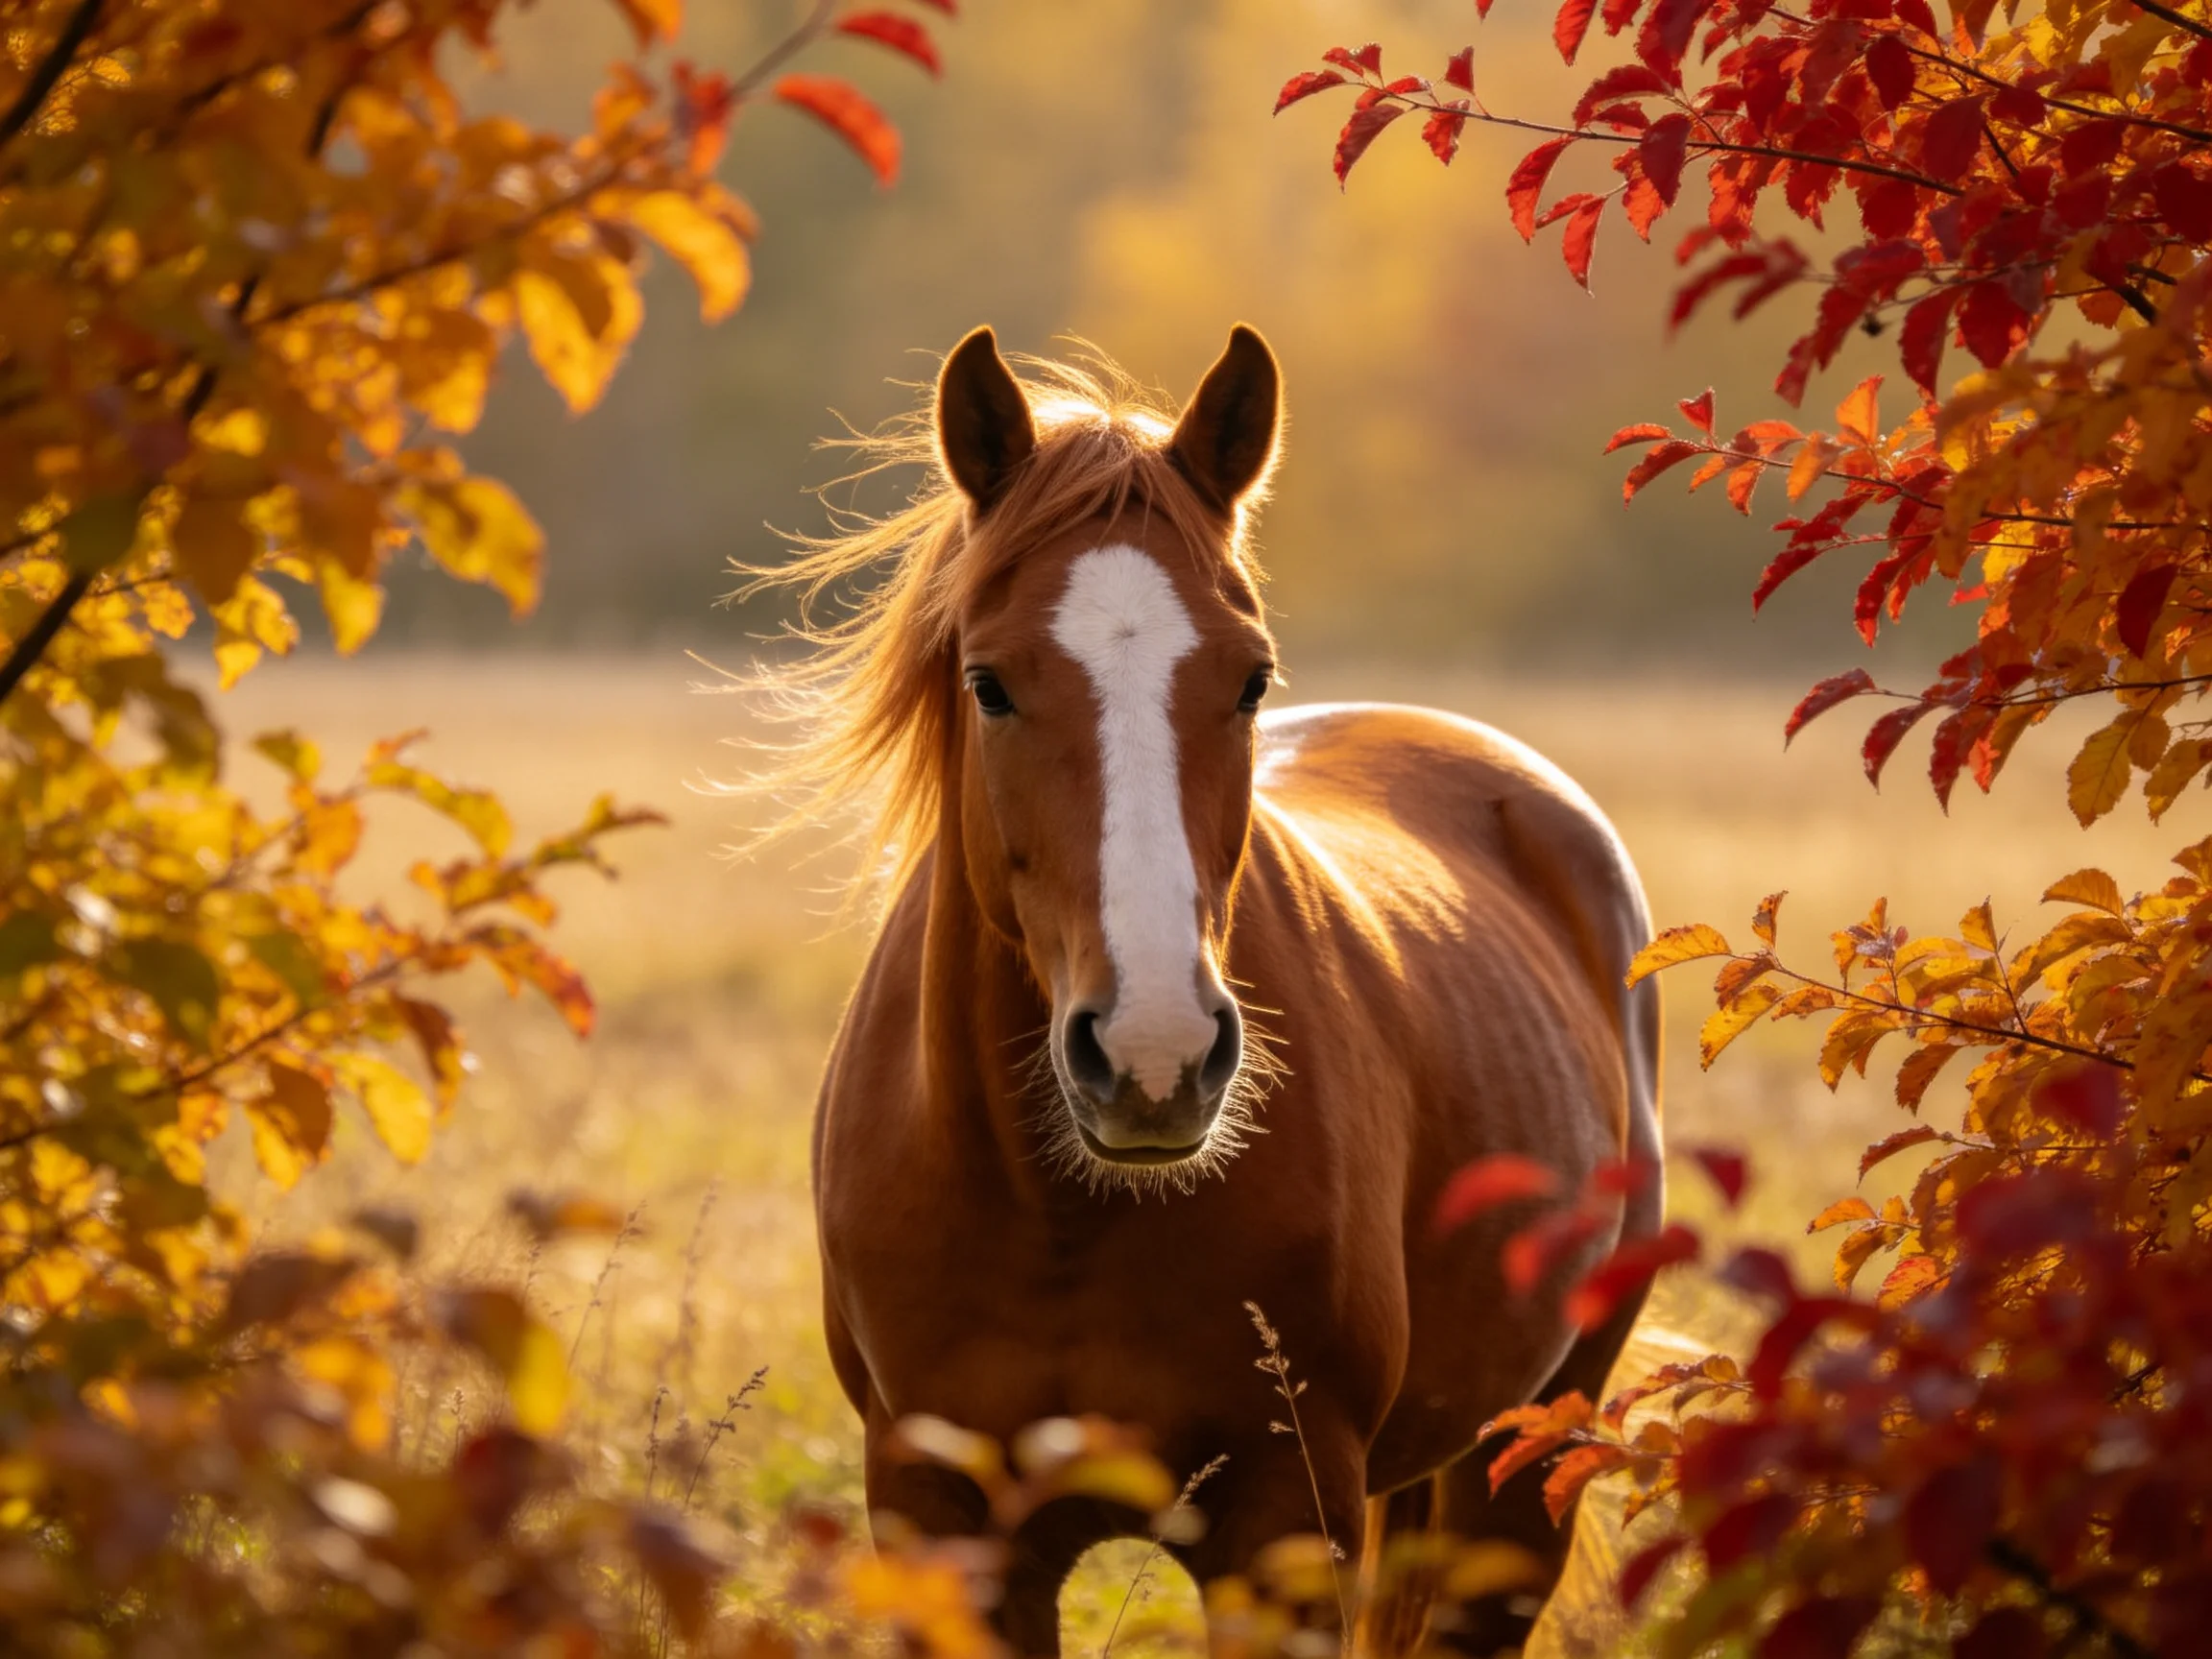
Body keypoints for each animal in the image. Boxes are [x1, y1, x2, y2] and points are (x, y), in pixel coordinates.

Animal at [753, 324, 1662, 1656]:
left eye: (1249, 679)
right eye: (988, 682)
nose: (1154, 1060)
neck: (1060, 1216)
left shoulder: (1285, 1524)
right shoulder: (942, 1523)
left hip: (1526, 1466)